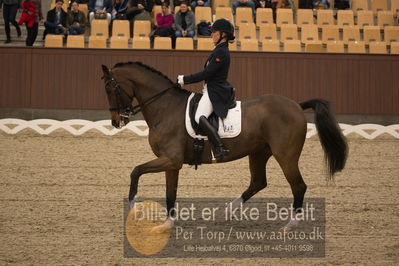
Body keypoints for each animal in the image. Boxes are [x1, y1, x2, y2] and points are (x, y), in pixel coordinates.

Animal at [101, 61, 348, 231]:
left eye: (110, 89)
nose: (116, 121)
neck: (165, 108)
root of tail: (296, 105)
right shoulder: (172, 163)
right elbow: (170, 193)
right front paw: (167, 224)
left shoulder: (170, 160)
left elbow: (136, 171)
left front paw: (133, 204)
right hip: (259, 153)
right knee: (259, 182)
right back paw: (229, 210)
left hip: (285, 155)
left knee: (298, 186)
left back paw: (289, 226)